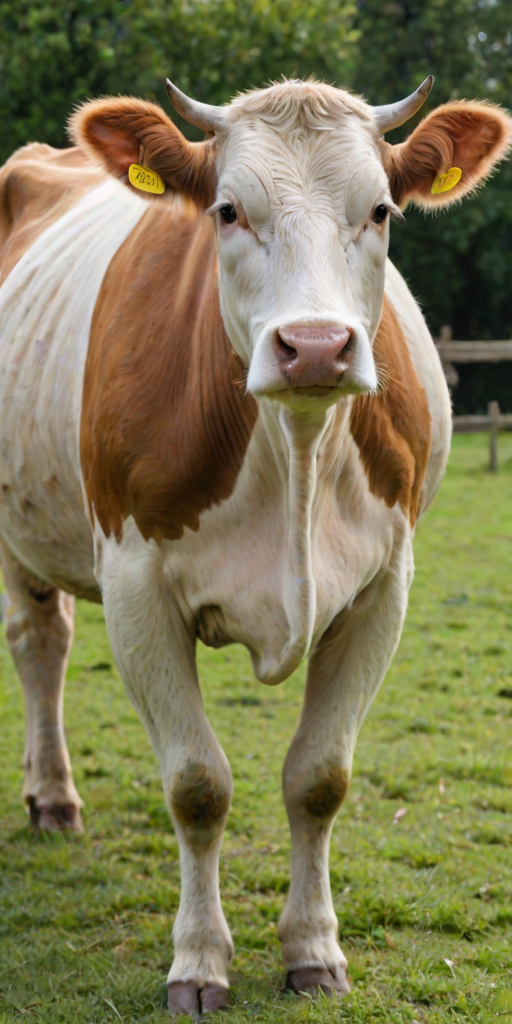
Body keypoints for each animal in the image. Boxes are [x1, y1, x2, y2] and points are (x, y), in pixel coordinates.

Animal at [0, 75, 510, 1016]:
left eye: (380, 210)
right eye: (228, 210)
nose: (314, 347)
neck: (295, 448)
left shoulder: (385, 589)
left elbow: (320, 778)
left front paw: (313, 950)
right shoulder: (136, 588)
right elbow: (197, 786)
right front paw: (198, 962)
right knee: (39, 642)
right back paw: (51, 798)